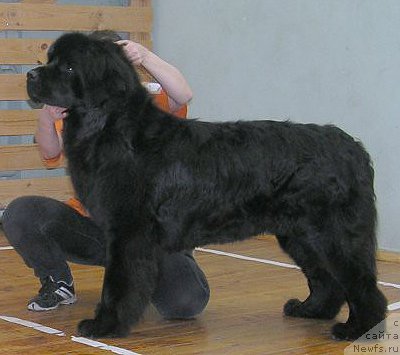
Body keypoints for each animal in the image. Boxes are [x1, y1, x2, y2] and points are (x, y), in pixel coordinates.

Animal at [26, 32, 386, 340]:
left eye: (68, 66)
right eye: (50, 59)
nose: (30, 74)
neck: (111, 127)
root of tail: (353, 148)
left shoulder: (128, 233)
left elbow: (118, 284)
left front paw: (105, 324)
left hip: (332, 234)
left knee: (362, 284)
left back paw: (357, 329)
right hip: (299, 235)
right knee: (326, 280)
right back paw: (311, 310)